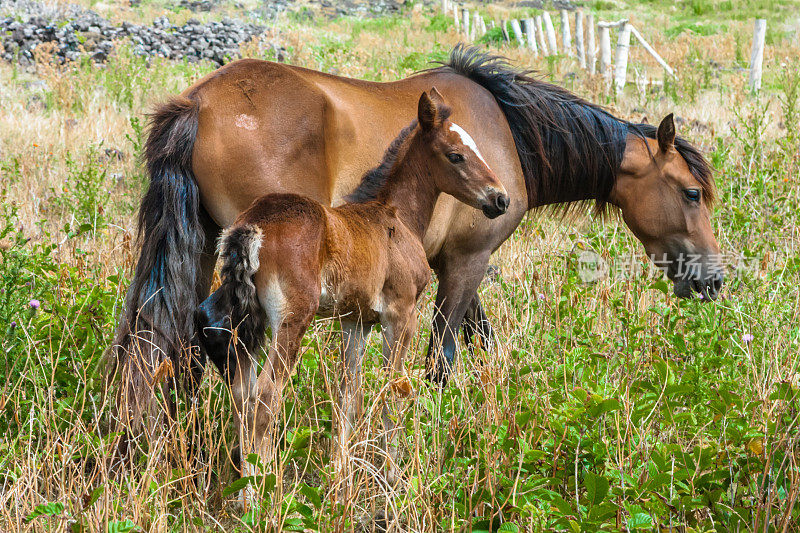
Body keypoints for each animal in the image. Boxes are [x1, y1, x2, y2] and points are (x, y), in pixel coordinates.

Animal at [114, 43, 724, 430]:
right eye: (693, 193)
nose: (713, 279)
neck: (507, 131)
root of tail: (197, 103)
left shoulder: (447, 263)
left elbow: (479, 340)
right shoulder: (467, 261)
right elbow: (443, 357)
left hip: (202, 252)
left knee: (172, 345)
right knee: (217, 341)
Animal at [197, 90, 510, 482]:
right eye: (456, 155)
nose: (500, 198)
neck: (396, 216)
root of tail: (253, 224)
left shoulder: (355, 321)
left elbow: (348, 395)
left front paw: (339, 472)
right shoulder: (401, 315)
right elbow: (394, 390)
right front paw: (392, 474)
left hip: (245, 320)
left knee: (243, 393)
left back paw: (247, 485)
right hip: (291, 320)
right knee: (267, 394)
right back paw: (265, 487)